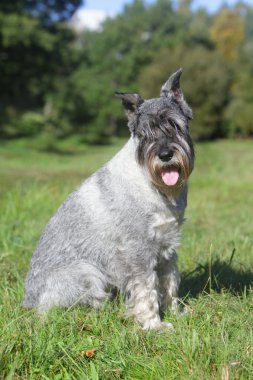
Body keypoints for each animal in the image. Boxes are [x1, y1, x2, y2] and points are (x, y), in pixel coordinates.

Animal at [23, 68, 194, 330]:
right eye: (143, 134)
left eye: (174, 125)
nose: (165, 155)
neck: (152, 184)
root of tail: (27, 304)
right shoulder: (137, 250)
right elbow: (146, 289)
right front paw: (153, 325)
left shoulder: (167, 245)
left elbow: (169, 281)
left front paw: (175, 312)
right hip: (88, 273)